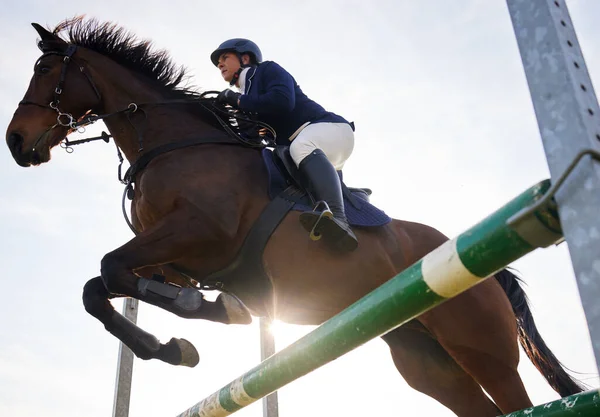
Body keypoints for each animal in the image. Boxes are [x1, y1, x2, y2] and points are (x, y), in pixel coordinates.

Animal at [4, 17, 584, 416]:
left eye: (44, 70)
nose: (15, 143)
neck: (173, 143)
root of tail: (486, 265)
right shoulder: (174, 257)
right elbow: (100, 287)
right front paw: (179, 344)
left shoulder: (198, 233)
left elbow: (112, 270)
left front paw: (199, 320)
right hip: (424, 357)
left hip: (479, 345)